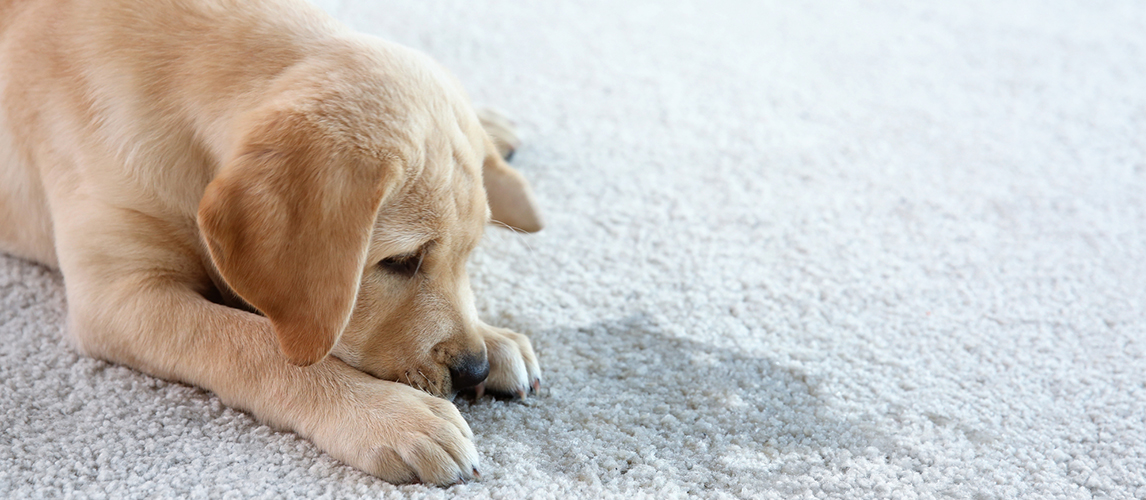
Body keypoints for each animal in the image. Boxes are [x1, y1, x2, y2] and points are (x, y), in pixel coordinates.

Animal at [1, 0, 545, 486]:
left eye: (467, 256)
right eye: (402, 261)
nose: (473, 369)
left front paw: (496, 338)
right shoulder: (119, 295)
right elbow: (253, 341)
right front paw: (390, 415)